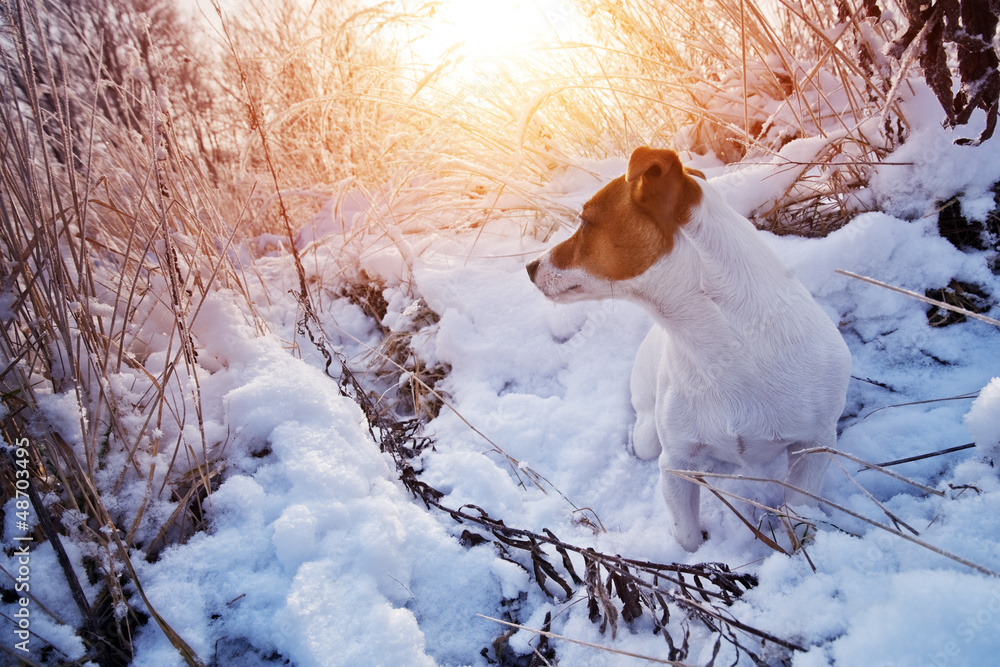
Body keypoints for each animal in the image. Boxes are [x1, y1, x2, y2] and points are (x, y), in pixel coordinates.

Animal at [528, 149, 848, 552]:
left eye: (585, 222)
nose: (529, 266)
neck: (720, 343)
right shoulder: (675, 464)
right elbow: (686, 534)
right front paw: (696, 558)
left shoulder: (815, 447)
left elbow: (799, 515)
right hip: (650, 435)